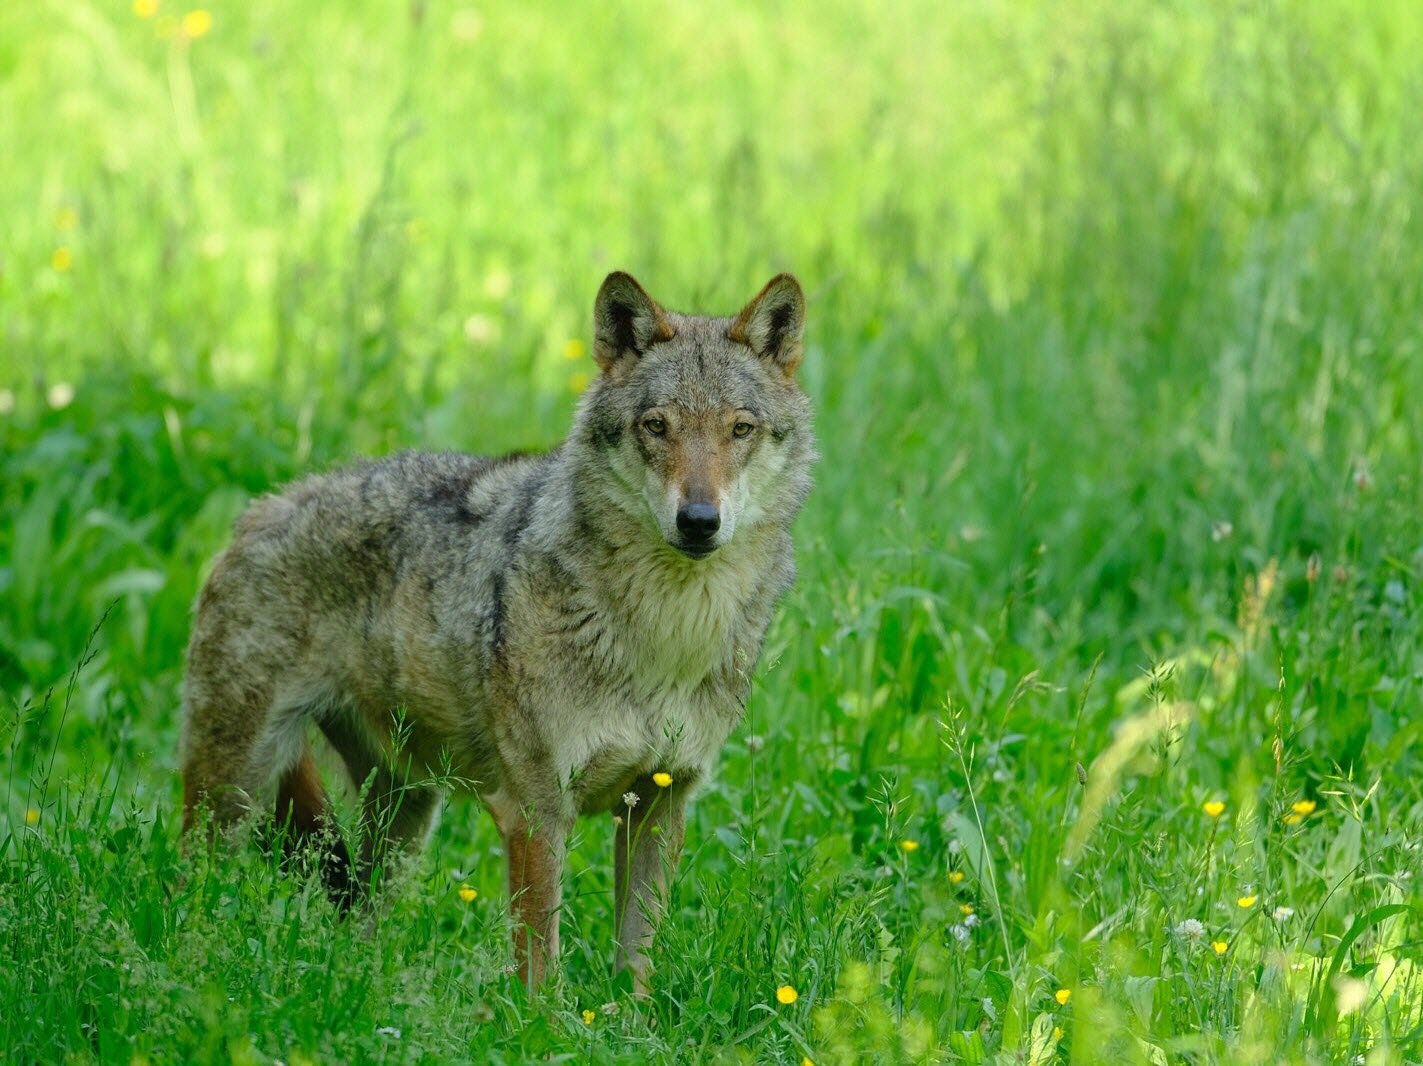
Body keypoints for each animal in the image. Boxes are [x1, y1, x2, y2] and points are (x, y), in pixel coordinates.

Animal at [179, 271, 814, 991]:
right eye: (657, 426)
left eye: (740, 429)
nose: (699, 521)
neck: (665, 636)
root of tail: (259, 509)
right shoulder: (535, 810)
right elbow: (540, 962)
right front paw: (541, 1019)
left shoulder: (660, 803)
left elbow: (635, 964)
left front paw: (629, 1016)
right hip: (235, 793)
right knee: (185, 889)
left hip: (403, 816)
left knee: (357, 923)